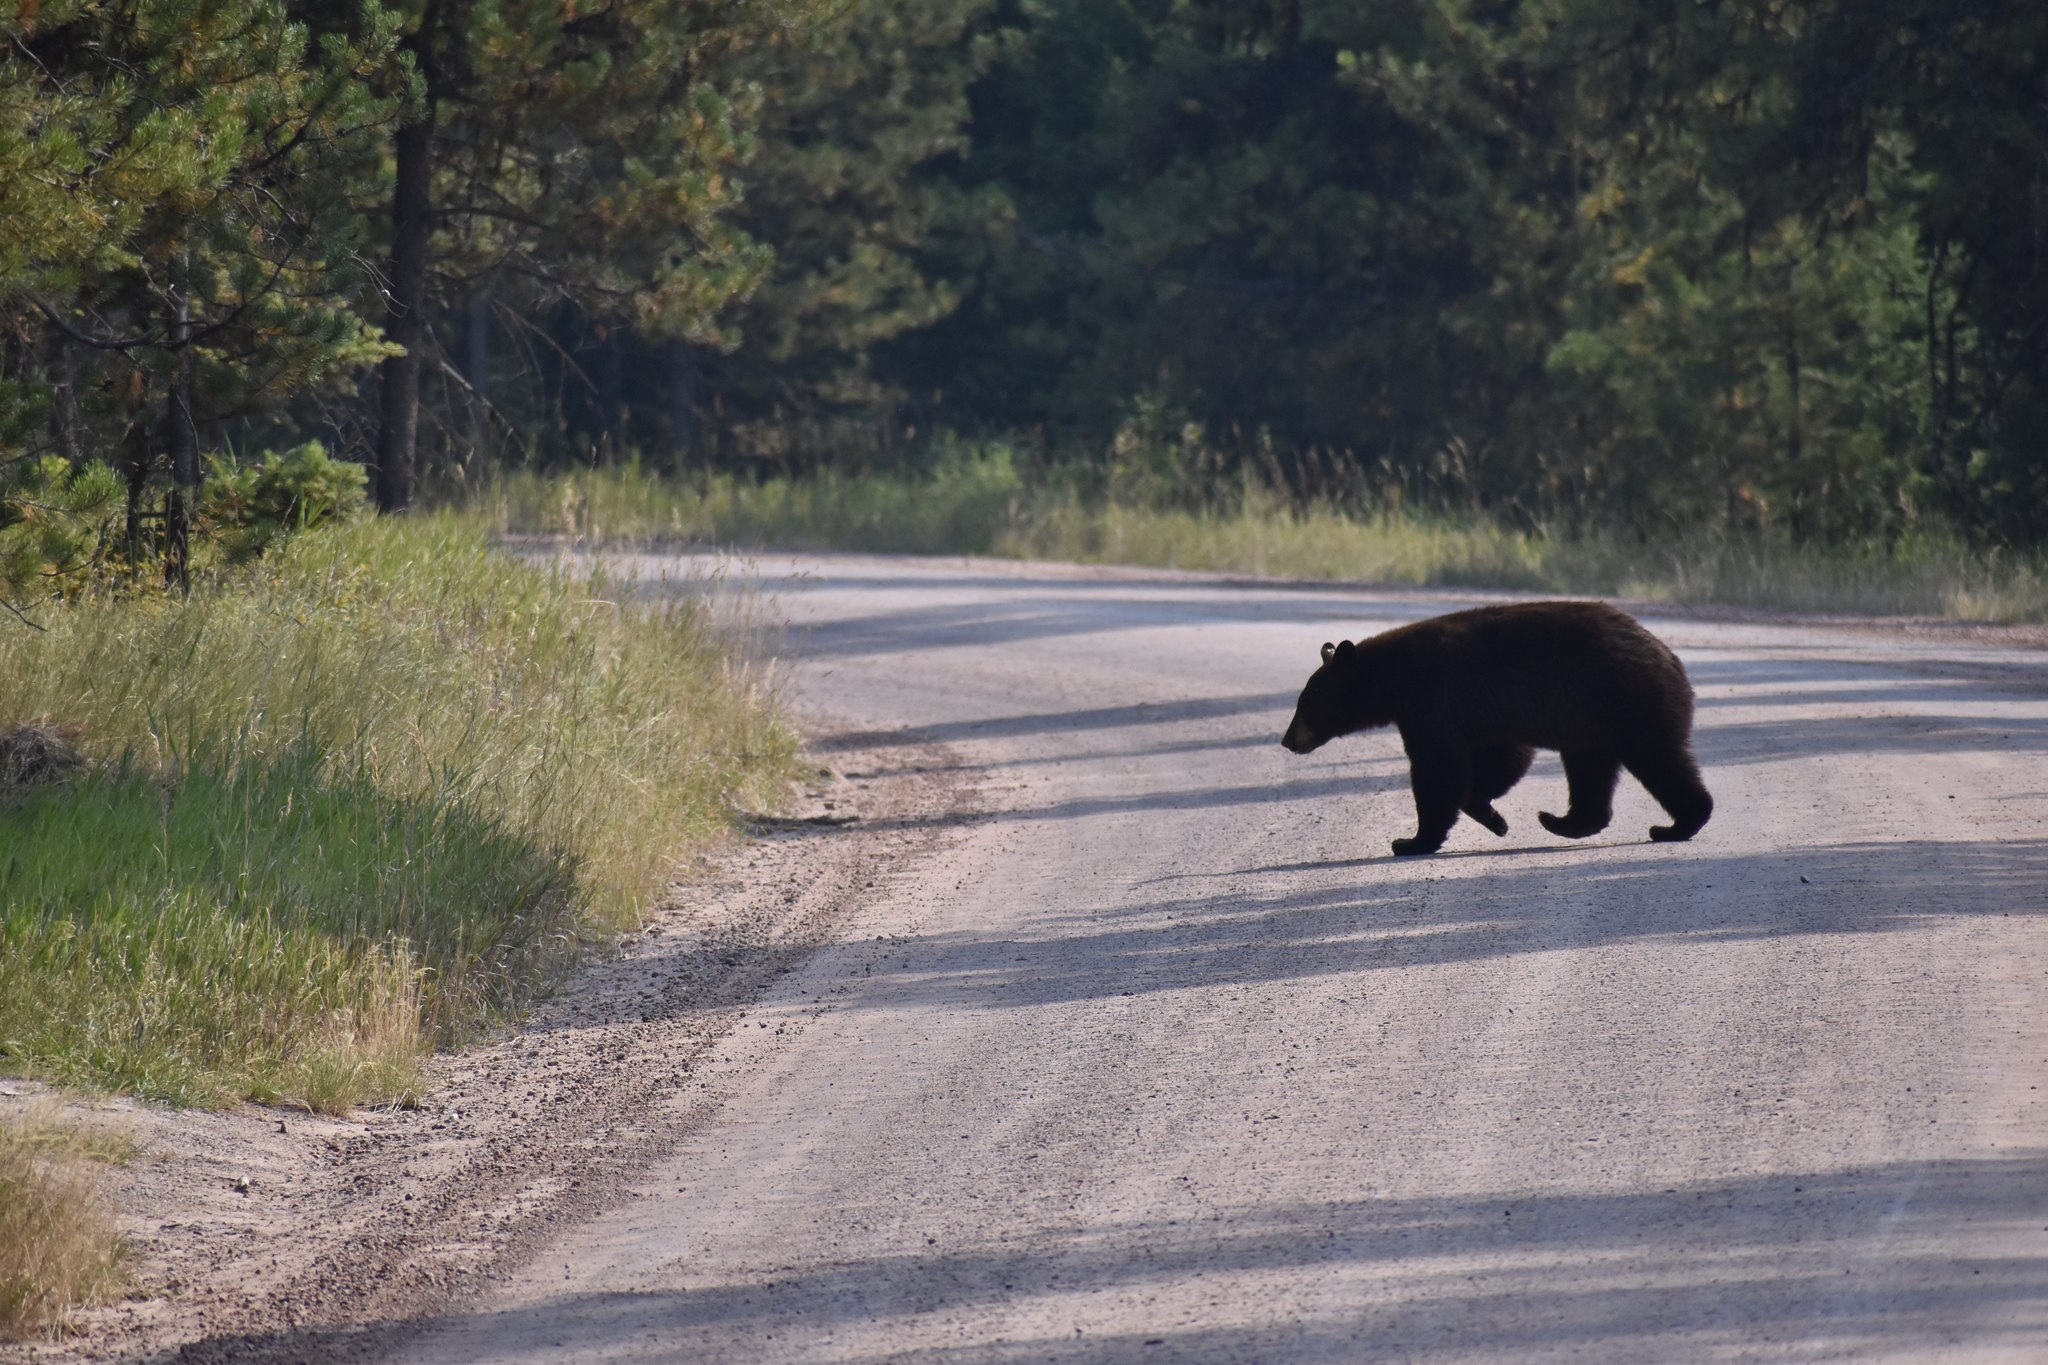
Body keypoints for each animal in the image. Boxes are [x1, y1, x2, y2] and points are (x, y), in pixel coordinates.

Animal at [1279, 601, 1712, 856]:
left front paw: (1412, 840)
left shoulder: (1431, 703)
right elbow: (1505, 757)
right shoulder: (1485, 713)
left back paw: (1677, 824)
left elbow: (1439, 768)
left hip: (1628, 700)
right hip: (1590, 718)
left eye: (1306, 702)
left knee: (1658, 759)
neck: (1395, 677)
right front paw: (1491, 815)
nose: (1286, 740)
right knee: (1591, 770)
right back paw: (1562, 821)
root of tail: (1671, 659)